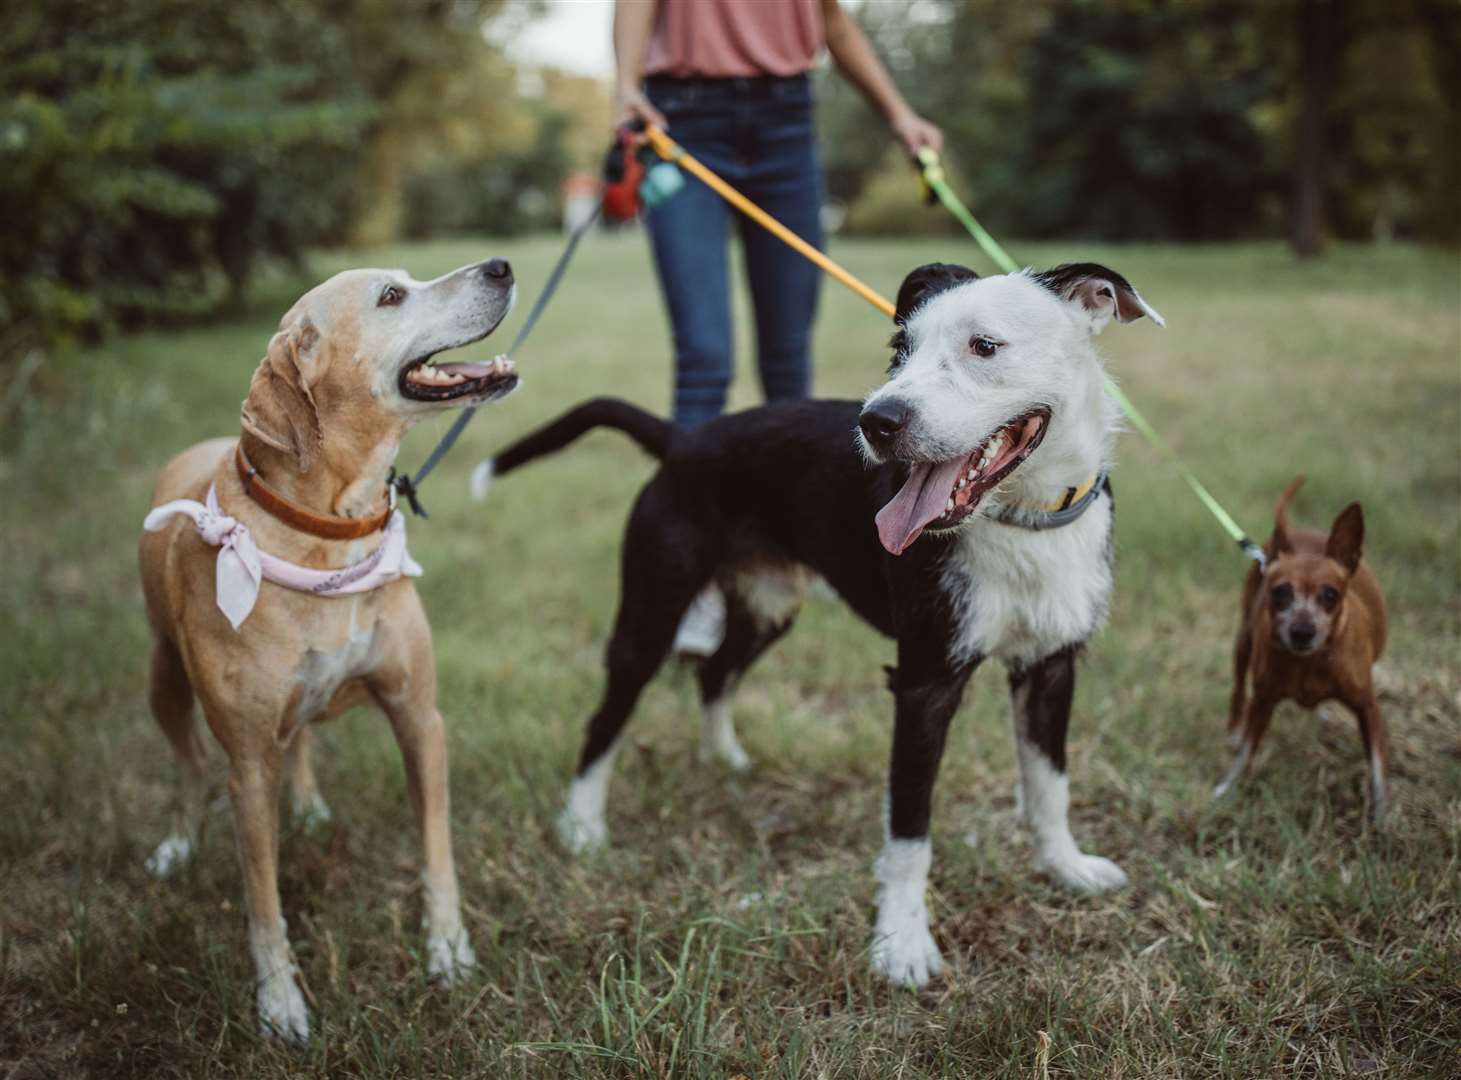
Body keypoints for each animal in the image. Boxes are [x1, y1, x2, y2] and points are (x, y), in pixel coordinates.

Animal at [137, 257, 523, 1040]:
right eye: (392, 296)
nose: (501, 266)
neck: (331, 528)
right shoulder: (248, 767)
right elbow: (262, 899)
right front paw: (279, 1002)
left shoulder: (419, 718)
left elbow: (437, 849)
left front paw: (448, 950)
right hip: (162, 675)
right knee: (188, 766)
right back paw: (179, 844)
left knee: (303, 737)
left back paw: (310, 804)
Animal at [476, 261, 1162, 987]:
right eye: (900, 348)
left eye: (984, 346)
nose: (877, 422)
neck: (1022, 520)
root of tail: (684, 440)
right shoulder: (923, 683)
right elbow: (910, 829)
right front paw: (901, 943)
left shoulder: (1051, 666)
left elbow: (1049, 786)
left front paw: (1065, 869)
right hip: (652, 613)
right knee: (606, 720)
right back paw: (581, 826)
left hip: (768, 608)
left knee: (716, 672)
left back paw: (724, 758)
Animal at [1209, 476, 1390, 824]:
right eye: (1280, 592)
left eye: (1330, 595)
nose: (1302, 632)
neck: (1310, 663)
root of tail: (1296, 532)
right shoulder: (1263, 702)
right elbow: (1247, 751)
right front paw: (1229, 790)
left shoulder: (1368, 708)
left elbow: (1377, 765)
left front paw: (1382, 815)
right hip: (1243, 643)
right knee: (1238, 690)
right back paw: (1235, 728)